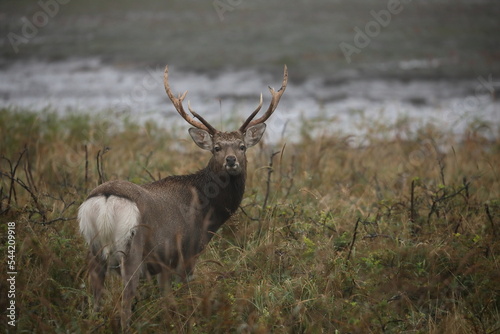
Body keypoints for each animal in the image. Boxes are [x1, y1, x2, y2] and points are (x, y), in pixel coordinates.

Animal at [78, 64, 290, 330]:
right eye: (217, 148)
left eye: (242, 146)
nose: (231, 160)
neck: (208, 210)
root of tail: (105, 198)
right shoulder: (186, 252)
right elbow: (183, 295)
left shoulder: (163, 265)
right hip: (132, 247)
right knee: (126, 300)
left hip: (93, 246)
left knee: (94, 296)